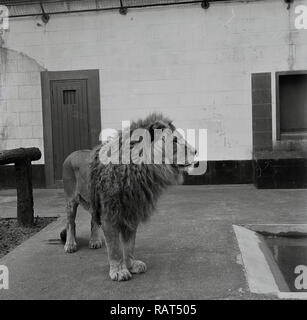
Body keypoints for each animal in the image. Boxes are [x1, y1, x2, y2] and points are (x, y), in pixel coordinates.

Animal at [60, 114, 197, 282]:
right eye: (175, 140)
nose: (196, 151)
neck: (139, 170)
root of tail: (72, 153)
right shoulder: (109, 214)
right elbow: (115, 247)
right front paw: (119, 271)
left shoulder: (131, 210)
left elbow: (129, 244)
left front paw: (131, 265)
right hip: (70, 200)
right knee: (70, 222)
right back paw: (70, 245)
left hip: (94, 202)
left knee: (93, 220)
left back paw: (95, 241)